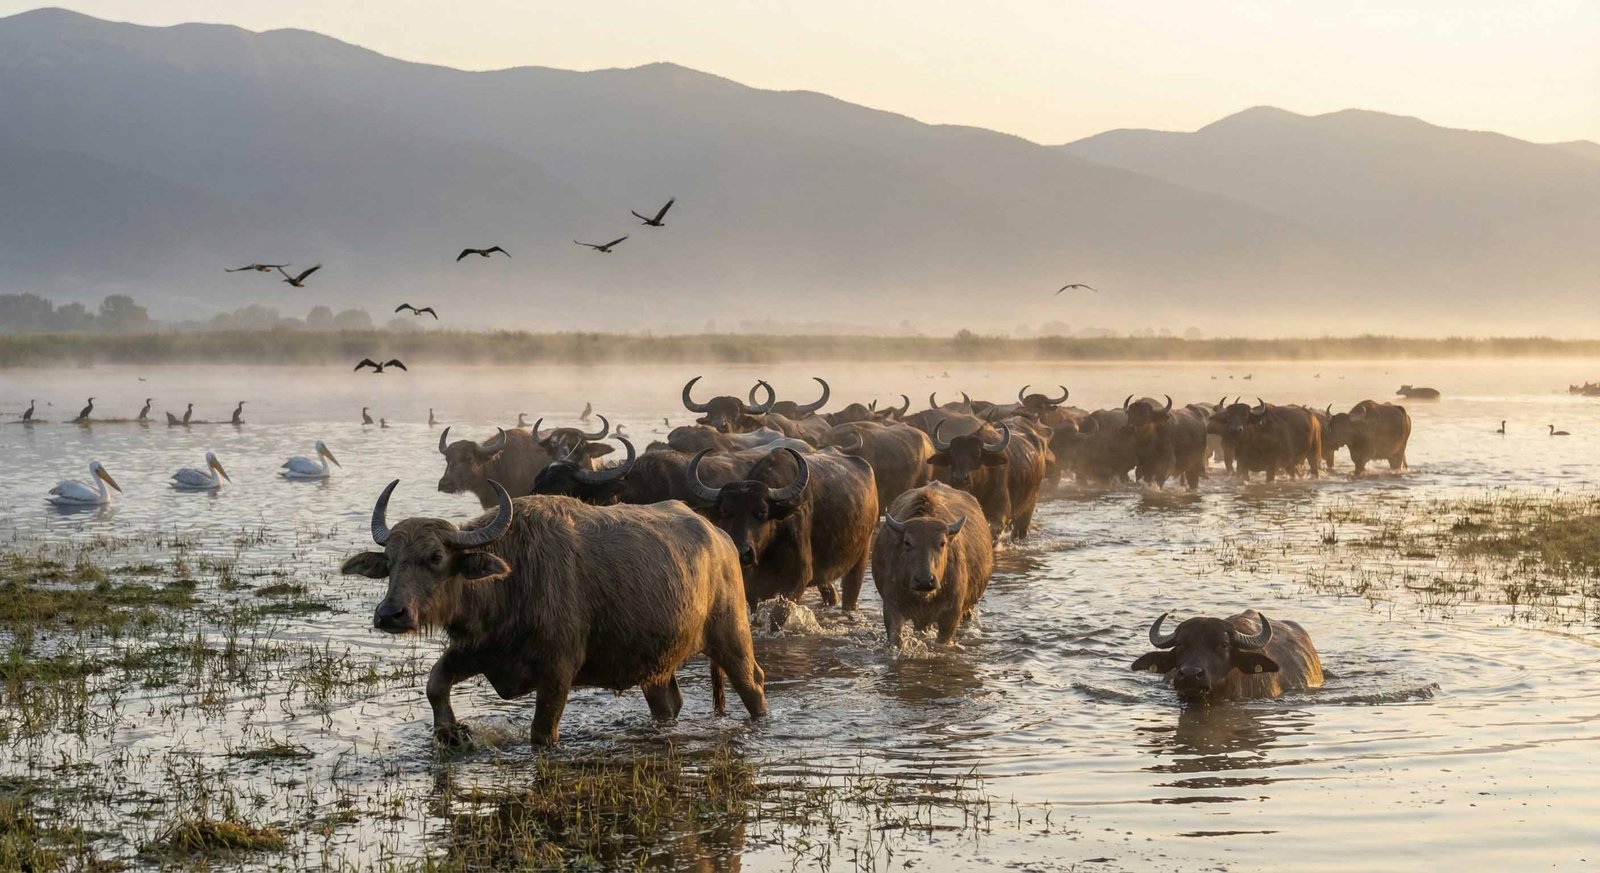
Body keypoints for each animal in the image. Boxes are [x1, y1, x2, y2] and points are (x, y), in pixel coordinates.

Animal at [342, 480, 767, 747]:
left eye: (435, 557)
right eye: (390, 561)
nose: (390, 614)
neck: (510, 581)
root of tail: (721, 538)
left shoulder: (558, 670)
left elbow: (542, 733)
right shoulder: (475, 650)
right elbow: (435, 683)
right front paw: (451, 732)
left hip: (731, 636)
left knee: (754, 685)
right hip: (654, 661)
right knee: (668, 704)